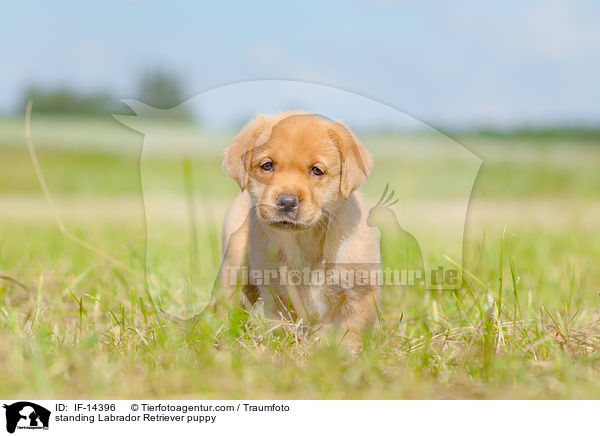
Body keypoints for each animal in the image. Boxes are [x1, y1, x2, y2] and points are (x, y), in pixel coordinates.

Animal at [219, 111, 380, 348]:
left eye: (316, 170)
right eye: (267, 165)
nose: (286, 202)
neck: (306, 241)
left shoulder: (360, 292)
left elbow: (352, 333)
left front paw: (345, 353)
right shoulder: (276, 293)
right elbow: (285, 328)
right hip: (234, 265)